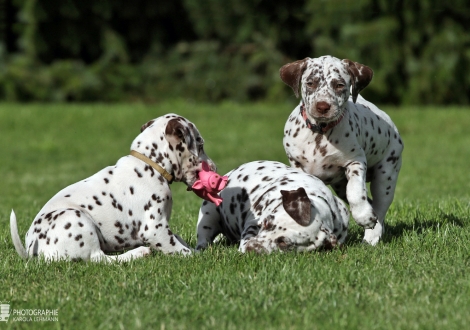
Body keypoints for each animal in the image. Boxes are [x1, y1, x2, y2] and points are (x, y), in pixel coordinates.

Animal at [10, 114, 217, 262]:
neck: (150, 164)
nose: (214, 167)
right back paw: (138, 253)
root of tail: (31, 251)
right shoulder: (155, 228)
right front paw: (200, 254)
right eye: (200, 144)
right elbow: (182, 250)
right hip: (76, 219)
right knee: (100, 259)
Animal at [280, 54, 404, 245]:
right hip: (340, 185)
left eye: (339, 85)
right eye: (310, 83)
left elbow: (355, 192)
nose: (323, 106)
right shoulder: (297, 165)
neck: (320, 133)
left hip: (386, 177)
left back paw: (371, 235)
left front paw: (363, 216)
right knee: (370, 203)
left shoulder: (355, 162)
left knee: (379, 207)